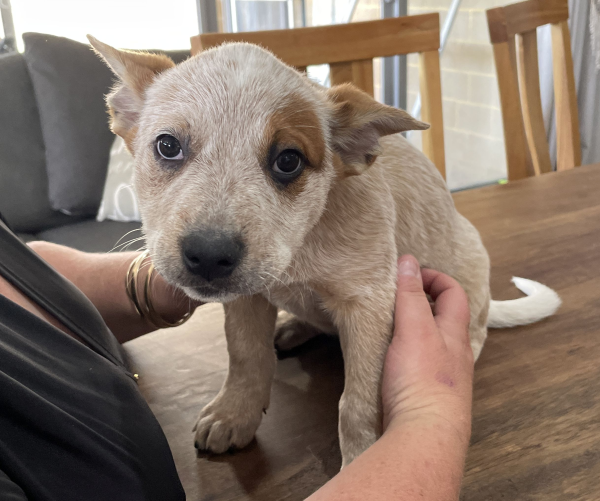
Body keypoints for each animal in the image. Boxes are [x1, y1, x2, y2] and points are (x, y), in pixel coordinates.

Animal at [90, 37, 564, 466]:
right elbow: (246, 355)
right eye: (167, 146)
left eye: (288, 160)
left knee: (477, 326)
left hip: (470, 263)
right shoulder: (247, 297)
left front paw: (363, 458)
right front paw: (235, 413)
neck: (301, 252)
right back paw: (294, 327)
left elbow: (357, 403)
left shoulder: (369, 304)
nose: (208, 254)